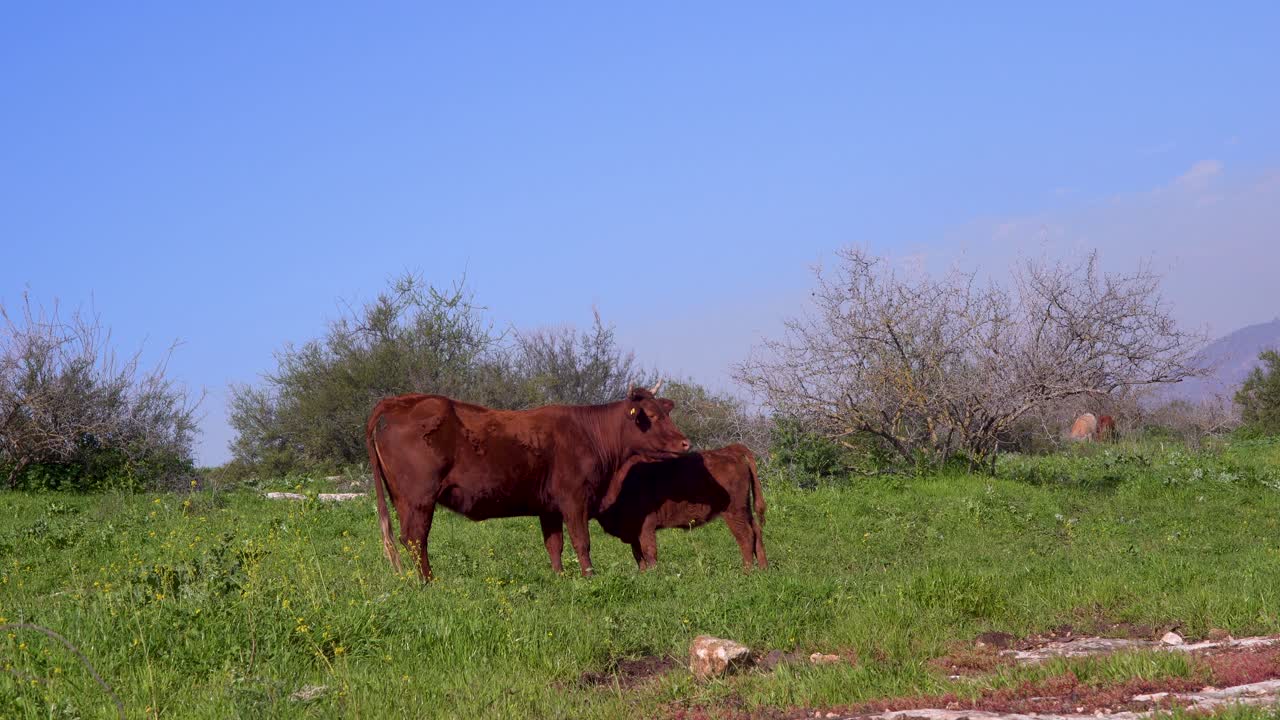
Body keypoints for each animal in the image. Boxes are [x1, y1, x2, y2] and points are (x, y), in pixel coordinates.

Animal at [366, 382, 690, 580]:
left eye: (665, 412)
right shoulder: (574, 500)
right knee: (416, 539)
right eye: (650, 416)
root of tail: (403, 402)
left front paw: (560, 578)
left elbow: (554, 545)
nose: (685, 443)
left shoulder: (549, 508)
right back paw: (430, 583)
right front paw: (589, 577)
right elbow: (581, 542)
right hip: (419, 499)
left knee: (410, 539)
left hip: (403, 500)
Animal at [596, 444, 767, 571]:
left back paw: (747, 572)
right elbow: (638, 555)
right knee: (756, 531)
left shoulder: (646, 527)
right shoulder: (633, 532)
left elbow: (649, 552)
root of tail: (729, 450)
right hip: (744, 509)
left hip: (733, 511)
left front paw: (653, 576)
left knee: (745, 536)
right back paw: (763, 569)